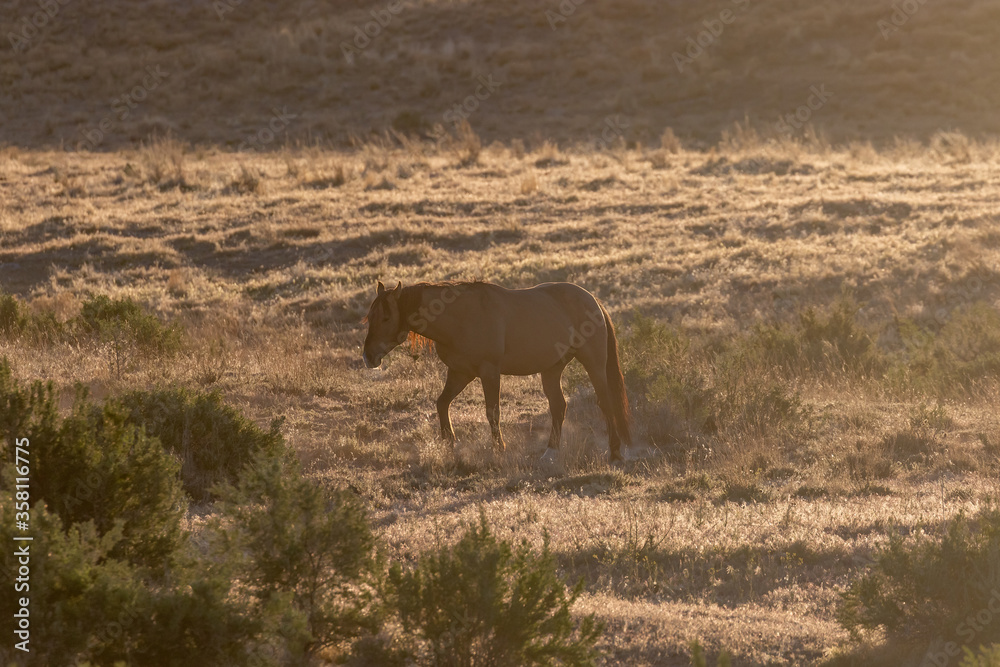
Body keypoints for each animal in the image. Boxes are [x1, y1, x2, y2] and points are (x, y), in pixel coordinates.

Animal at [362, 280, 632, 462]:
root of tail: (592, 299)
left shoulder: (489, 372)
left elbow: (492, 412)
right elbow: (442, 403)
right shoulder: (460, 373)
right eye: (370, 317)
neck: (460, 317)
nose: (368, 357)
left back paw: (615, 452)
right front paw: (449, 441)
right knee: (558, 406)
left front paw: (498, 449)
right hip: (551, 370)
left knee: (605, 402)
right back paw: (550, 451)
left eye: (386, 318)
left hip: (593, 363)